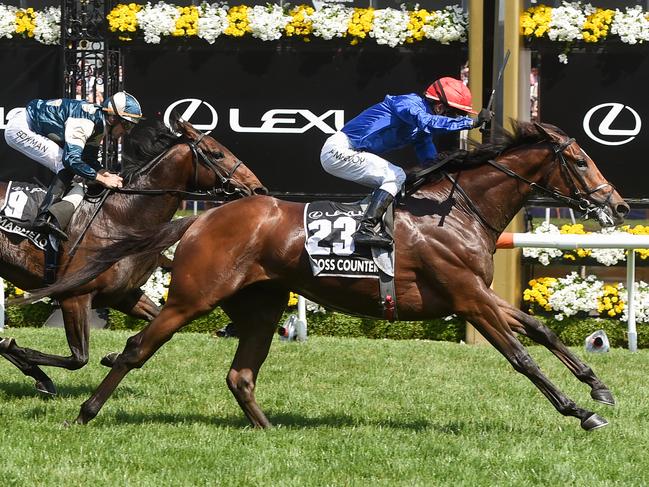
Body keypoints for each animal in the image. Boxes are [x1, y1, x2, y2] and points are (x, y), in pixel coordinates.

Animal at [0, 119, 266, 396]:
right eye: (217, 154)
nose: (258, 188)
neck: (122, 217)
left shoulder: (123, 294)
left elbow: (156, 320)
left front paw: (113, 357)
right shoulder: (74, 296)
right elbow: (78, 358)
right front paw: (19, 354)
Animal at [35, 122, 628, 430]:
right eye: (580, 161)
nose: (617, 205)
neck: (455, 212)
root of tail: (201, 216)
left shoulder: (477, 293)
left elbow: (541, 328)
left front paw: (599, 387)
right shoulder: (467, 297)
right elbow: (521, 355)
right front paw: (578, 410)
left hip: (262, 304)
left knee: (240, 374)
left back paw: (270, 431)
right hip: (192, 298)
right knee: (136, 349)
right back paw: (84, 413)